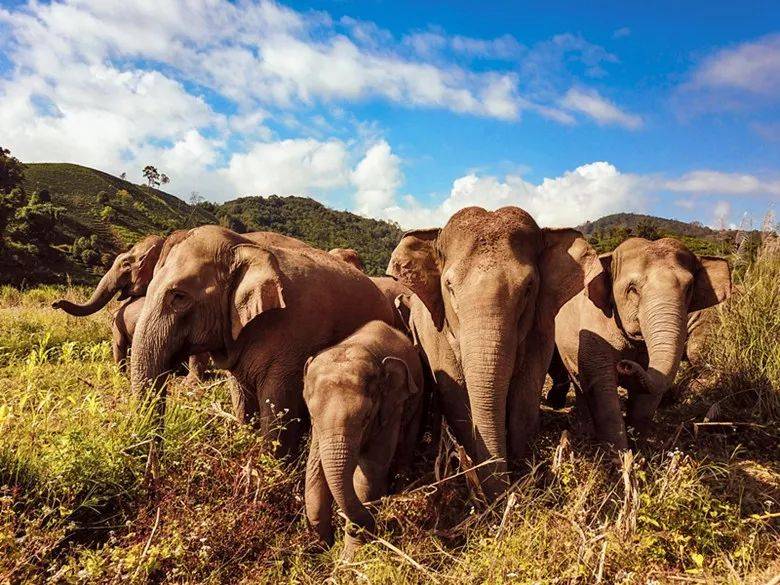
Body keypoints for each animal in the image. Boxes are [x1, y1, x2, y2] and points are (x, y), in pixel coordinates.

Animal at [132, 226, 396, 458]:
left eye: (179, 297)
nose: (158, 458)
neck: (247, 247)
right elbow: (241, 400)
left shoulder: (292, 340)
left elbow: (278, 409)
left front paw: (272, 466)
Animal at [302, 320, 424, 560]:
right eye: (312, 415)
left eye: (366, 418)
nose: (352, 527)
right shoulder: (318, 433)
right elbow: (314, 472)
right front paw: (322, 549)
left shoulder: (390, 409)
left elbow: (369, 471)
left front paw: (349, 558)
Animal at [386, 205, 600, 492]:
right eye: (449, 287)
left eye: (528, 288)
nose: (506, 487)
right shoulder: (435, 331)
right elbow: (455, 393)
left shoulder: (541, 326)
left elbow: (526, 391)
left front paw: (523, 470)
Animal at [556, 236, 732, 448]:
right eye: (632, 290)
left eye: (689, 288)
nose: (625, 365)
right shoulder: (593, 328)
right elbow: (601, 385)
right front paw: (619, 452)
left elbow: (651, 392)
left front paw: (639, 446)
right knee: (579, 384)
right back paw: (585, 431)